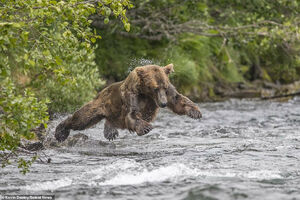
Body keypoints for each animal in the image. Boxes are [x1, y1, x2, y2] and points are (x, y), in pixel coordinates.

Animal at [55, 63, 203, 141]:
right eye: (155, 88)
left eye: (164, 87)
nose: (163, 103)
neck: (146, 93)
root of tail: (101, 91)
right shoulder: (132, 95)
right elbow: (132, 114)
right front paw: (146, 127)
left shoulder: (168, 92)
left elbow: (178, 99)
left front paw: (195, 112)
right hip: (100, 104)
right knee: (82, 118)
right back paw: (60, 131)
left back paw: (110, 132)